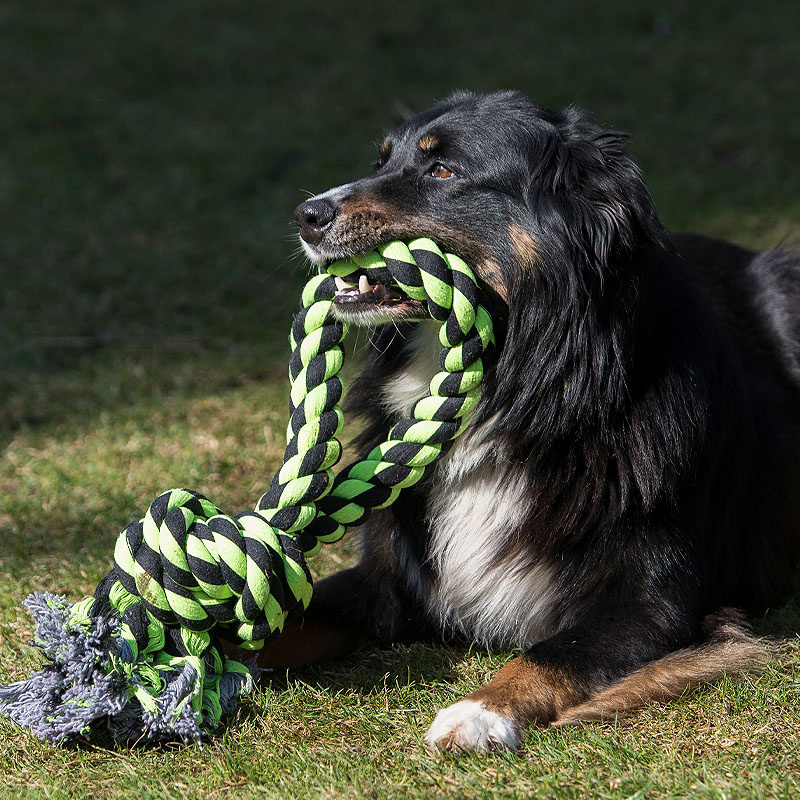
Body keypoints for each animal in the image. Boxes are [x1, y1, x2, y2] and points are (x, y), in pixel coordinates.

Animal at [260, 90, 800, 752]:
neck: (531, 388)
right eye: (383, 160)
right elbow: (286, 621)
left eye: (442, 171)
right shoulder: (382, 584)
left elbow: (550, 654)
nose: (307, 214)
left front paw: (478, 711)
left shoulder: (653, 601)